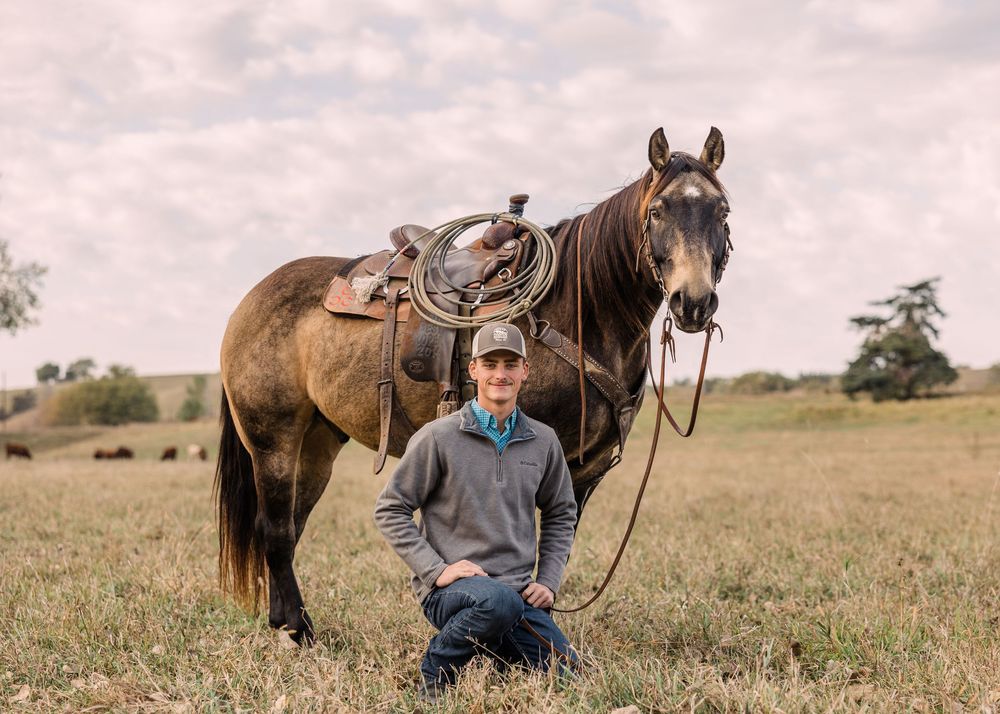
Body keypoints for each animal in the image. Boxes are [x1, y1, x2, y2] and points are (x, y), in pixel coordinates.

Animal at [215, 126, 731, 644]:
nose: (693, 302)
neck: (578, 309)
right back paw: (299, 632)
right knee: (276, 530)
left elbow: (556, 549)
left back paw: (286, 620)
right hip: (273, 441)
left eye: (722, 211)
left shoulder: (586, 469)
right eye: (658, 210)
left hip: (319, 441)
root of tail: (249, 301)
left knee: (290, 523)